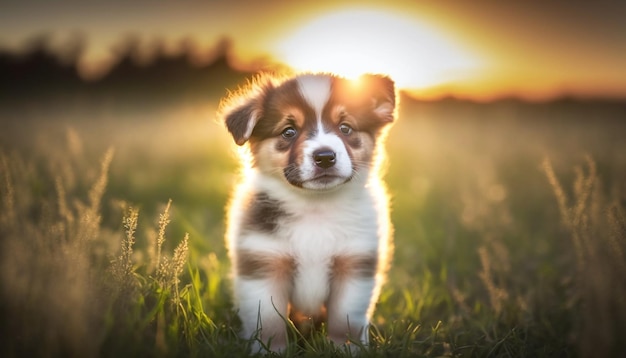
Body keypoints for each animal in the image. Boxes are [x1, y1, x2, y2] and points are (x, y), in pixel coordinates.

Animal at [219, 72, 394, 352]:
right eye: (288, 131)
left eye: (345, 128)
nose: (325, 157)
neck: (315, 208)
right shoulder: (264, 263)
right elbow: (269, 323)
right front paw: (271, 352)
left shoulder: (354, 262)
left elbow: (345, 321)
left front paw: (345, 349)